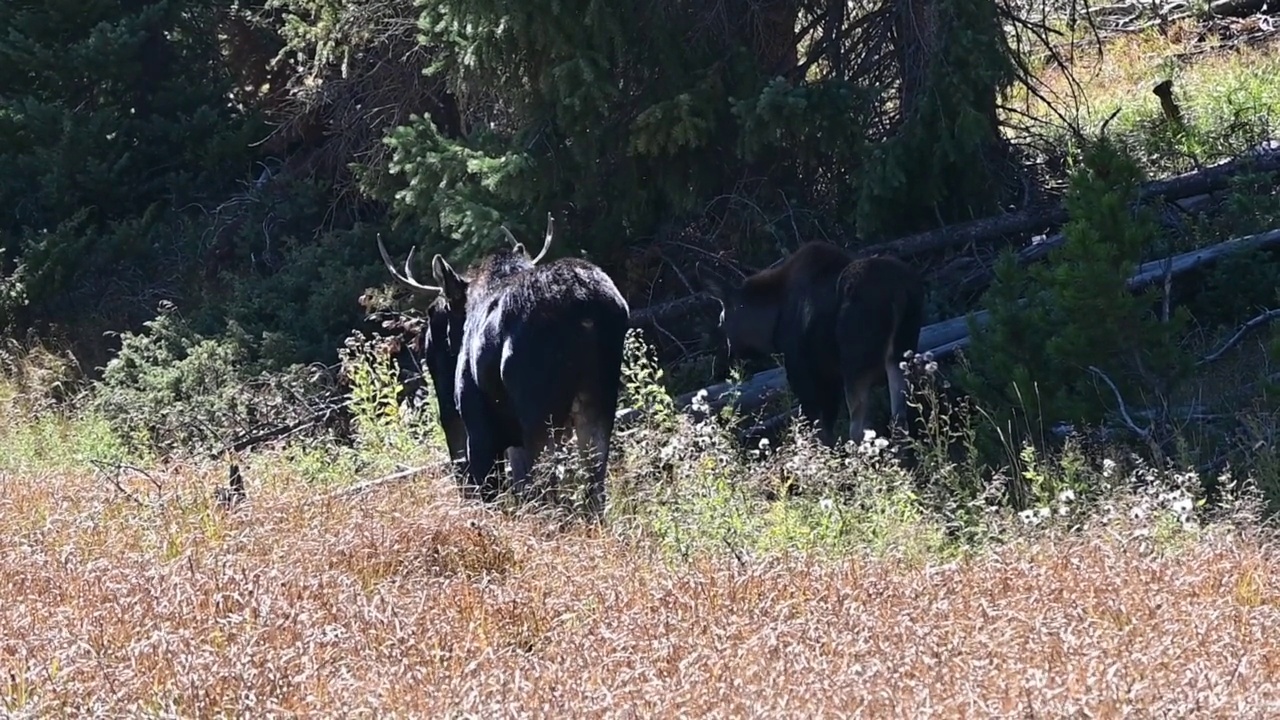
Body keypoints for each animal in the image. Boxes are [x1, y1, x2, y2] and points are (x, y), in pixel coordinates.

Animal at [373, 212, 629, 515]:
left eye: (434, 311)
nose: (427, 349)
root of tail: (586, 312)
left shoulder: (478, 426)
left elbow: (489, 491)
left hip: (538, 413)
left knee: (547, 485)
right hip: (599, 401)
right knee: (594, 483)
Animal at [696, 239, 926, 443]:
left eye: (721, 320)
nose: (724, 360)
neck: (772, 323)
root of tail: (899, 293)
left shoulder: (802, 372)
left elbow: (817, 431)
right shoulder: (830, 376)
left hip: (856, 363)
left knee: (860, 430)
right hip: (901, 351)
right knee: (900, 422)